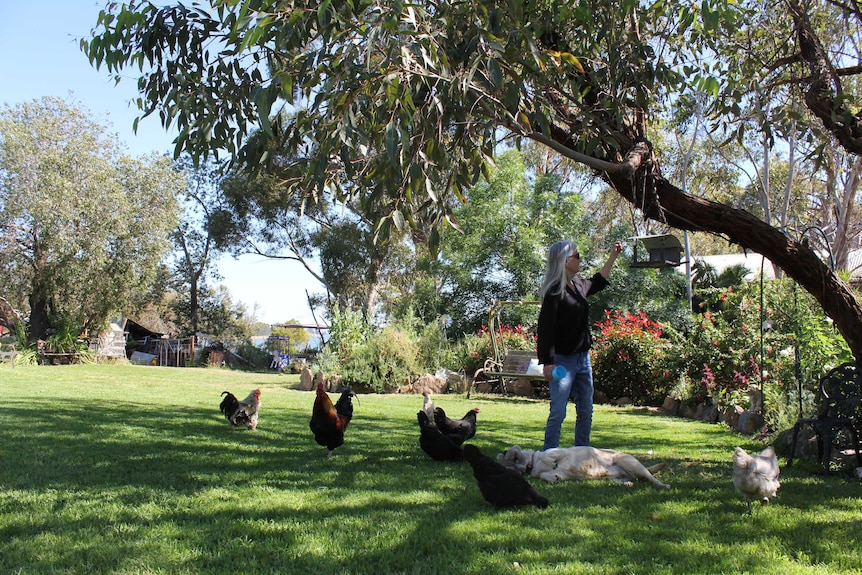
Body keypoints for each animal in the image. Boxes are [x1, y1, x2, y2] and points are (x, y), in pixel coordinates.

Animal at [496, 446, 672, 490]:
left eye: (513, 458)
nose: (503, 452)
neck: (534, 463)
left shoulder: (558, 451)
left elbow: (549, 457)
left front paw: (552, 464)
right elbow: (545, 475)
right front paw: (553, 478)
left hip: (629, 462)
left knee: (650, 477)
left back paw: (664, 485)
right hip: (611, 477)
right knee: (624, 480)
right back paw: (628, 483)